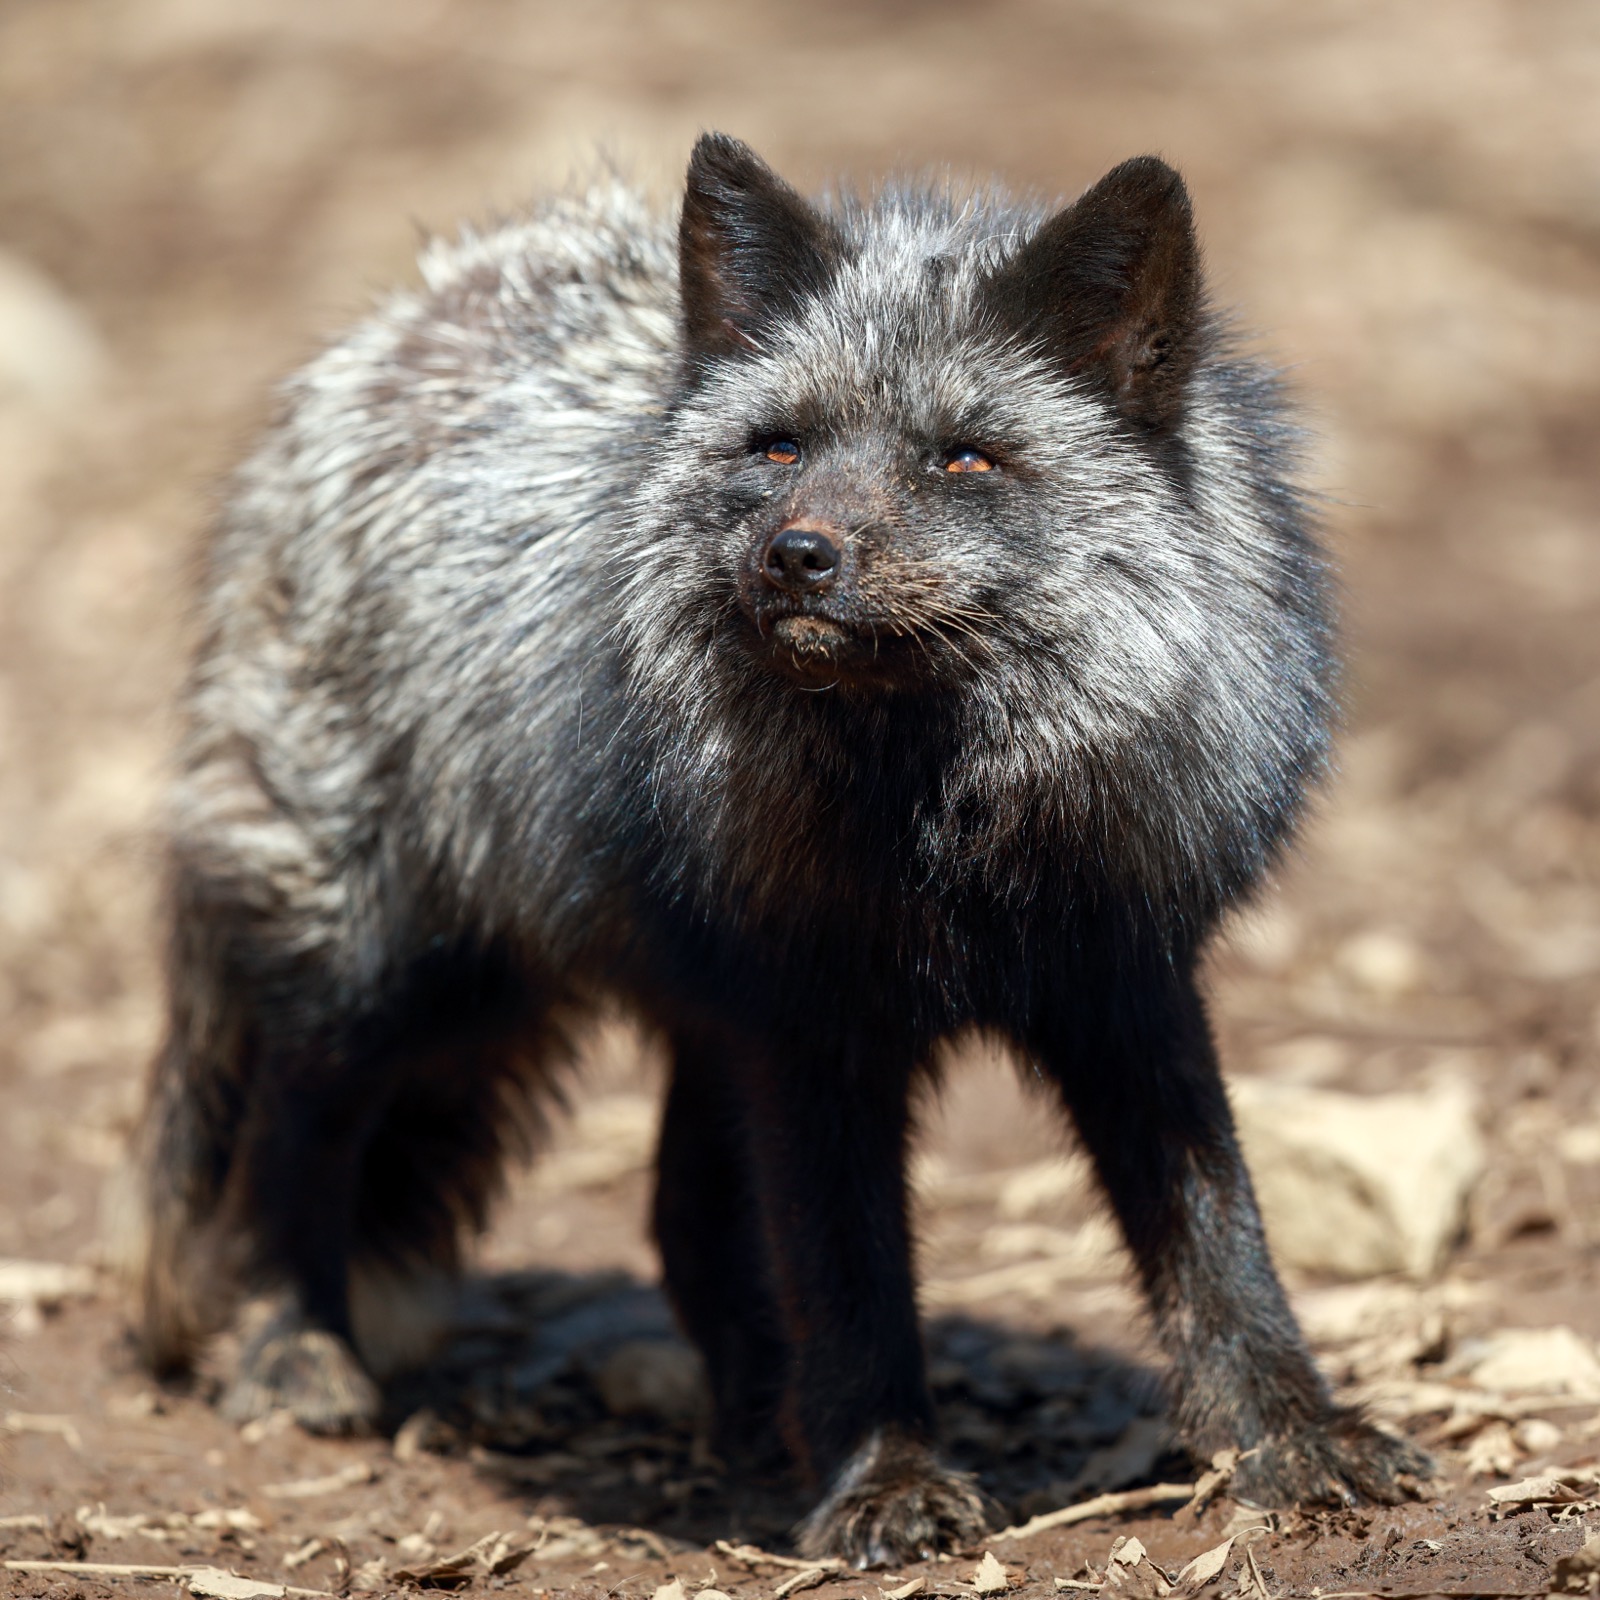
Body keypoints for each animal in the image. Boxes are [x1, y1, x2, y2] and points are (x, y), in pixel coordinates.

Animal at [127, 132, 1430, 1563]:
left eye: (964, 460)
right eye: (779, 446)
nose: (795, 555)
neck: (942, 840)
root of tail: (397, 318)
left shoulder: (1119, 979)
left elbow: (1217, 1240)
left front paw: (1288, 1431)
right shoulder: (817, 1023)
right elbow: (853, 1282)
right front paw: (884, 1481)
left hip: (673, 1009)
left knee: (682, 1225)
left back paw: (755, 1426)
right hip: (404, 966)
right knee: (291, 1136)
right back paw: (292, 1346)